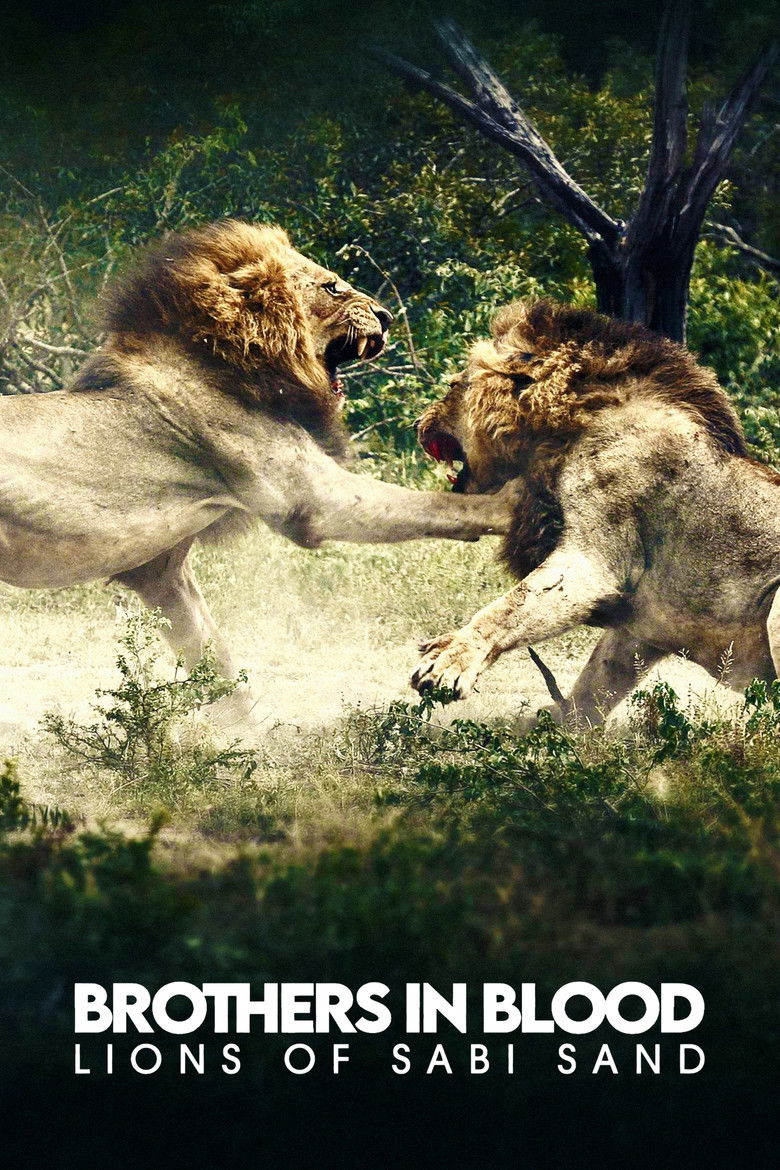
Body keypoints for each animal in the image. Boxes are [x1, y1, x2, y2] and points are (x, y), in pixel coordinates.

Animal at [0, 220, 516, 718]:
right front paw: (512, 503)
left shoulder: (160, 570)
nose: (387, 316)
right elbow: (432, 505)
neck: (239, 359)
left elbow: (216, 662)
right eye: (333, 287)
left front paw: (246, 737)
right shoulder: (312, 498)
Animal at [412, 297, 780, 722]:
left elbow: (511, 607)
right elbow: (597, 682)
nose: (417, 422)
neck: (561, 432)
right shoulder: (641, 628)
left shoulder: (593, 559)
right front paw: (554, 728)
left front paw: (447, 663)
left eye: (453, 386)